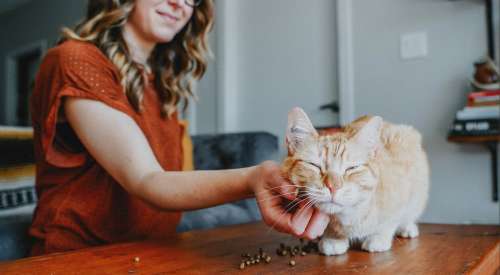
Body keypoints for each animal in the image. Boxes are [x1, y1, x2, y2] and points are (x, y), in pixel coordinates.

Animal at [282, 107, 430, 254]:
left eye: (351, 168)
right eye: (314, 165)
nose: (333, 187)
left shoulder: (401, 197)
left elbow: (389, 222)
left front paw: (379, 238)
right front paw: (334, 238)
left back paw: (407, 227)